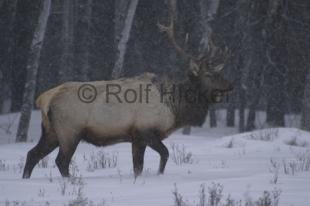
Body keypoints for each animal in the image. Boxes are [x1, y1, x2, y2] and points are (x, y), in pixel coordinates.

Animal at [23, 0, 232, 179]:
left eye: (219, 72)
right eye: (209, 75)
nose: (230, 85)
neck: (174, 108)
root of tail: (44, 99)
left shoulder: (136, 138)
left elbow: (138, 167)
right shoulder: (145, 130)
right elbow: (164, 154)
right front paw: (158, 175)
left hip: (51, 131)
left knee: (32, 154)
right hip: (69, 131)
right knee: (61, 161)